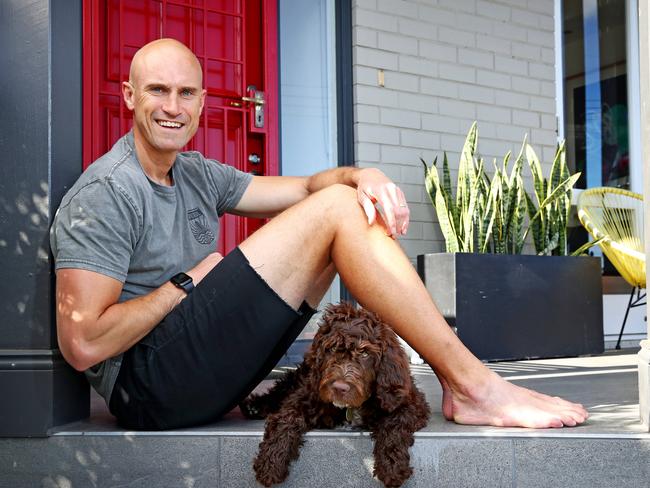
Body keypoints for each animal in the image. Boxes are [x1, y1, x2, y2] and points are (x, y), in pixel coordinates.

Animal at [240, 304, 428, 486]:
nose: (339, 387)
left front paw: (391, 466)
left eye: (365, 353)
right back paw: (254, 407)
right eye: (331, 349)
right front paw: (270, 463)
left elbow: (394, 423)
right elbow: (286, 418)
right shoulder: (306, 395)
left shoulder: (409, 402)